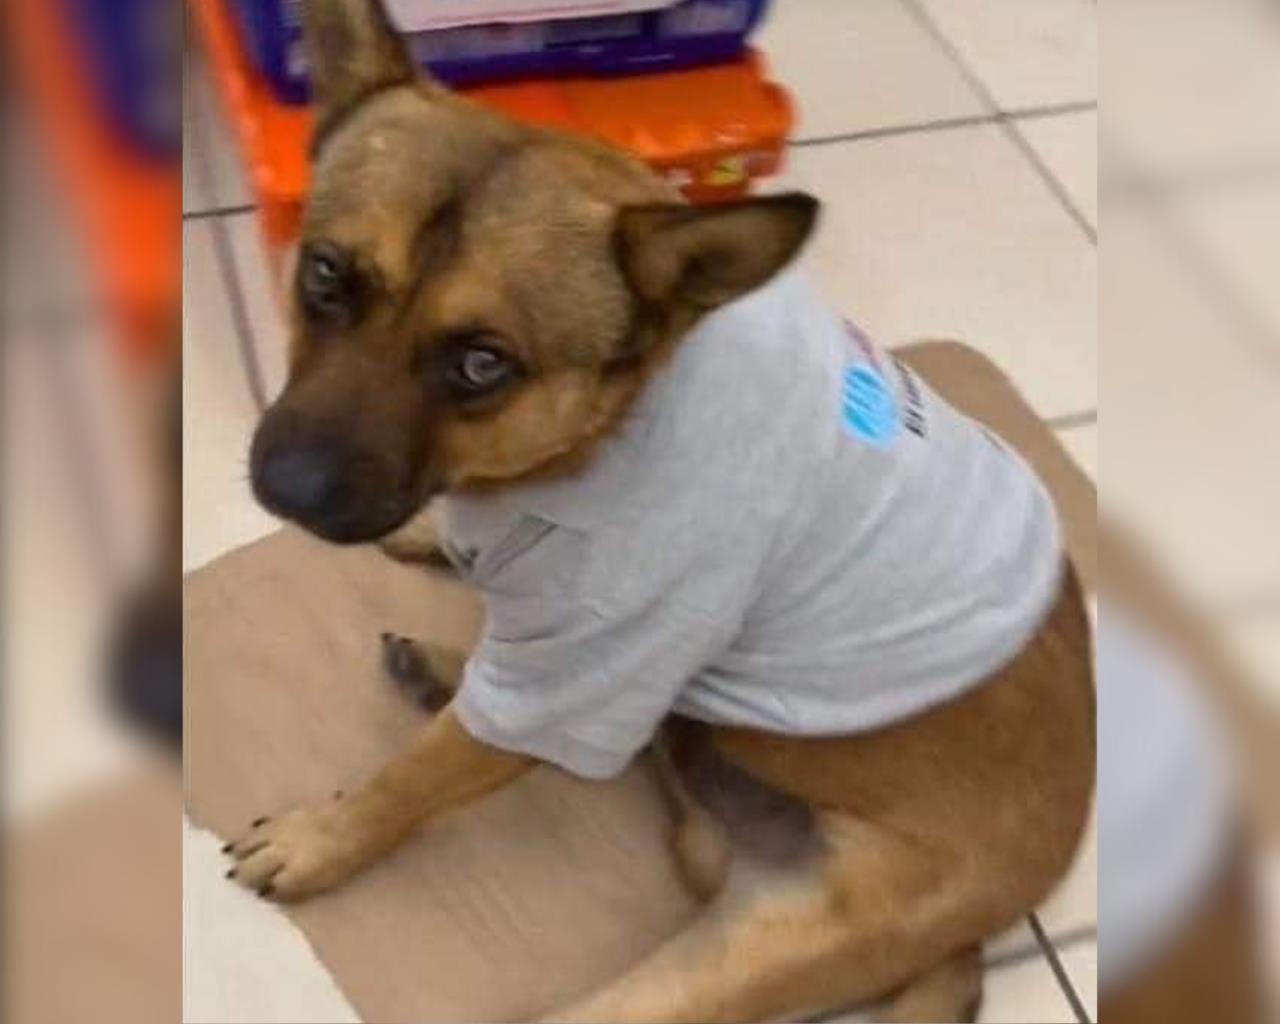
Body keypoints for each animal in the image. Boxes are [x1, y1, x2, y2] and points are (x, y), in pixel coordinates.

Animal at [225, 4, 1095, 1018]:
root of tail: (973, 944)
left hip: (716, 955)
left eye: (482, 364)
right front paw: (439, 540)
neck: (612, 419)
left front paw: (324, 839)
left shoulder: (602, 655)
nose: (287, 490)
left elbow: (407, 783)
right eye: (326, 276)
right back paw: (447, 668)